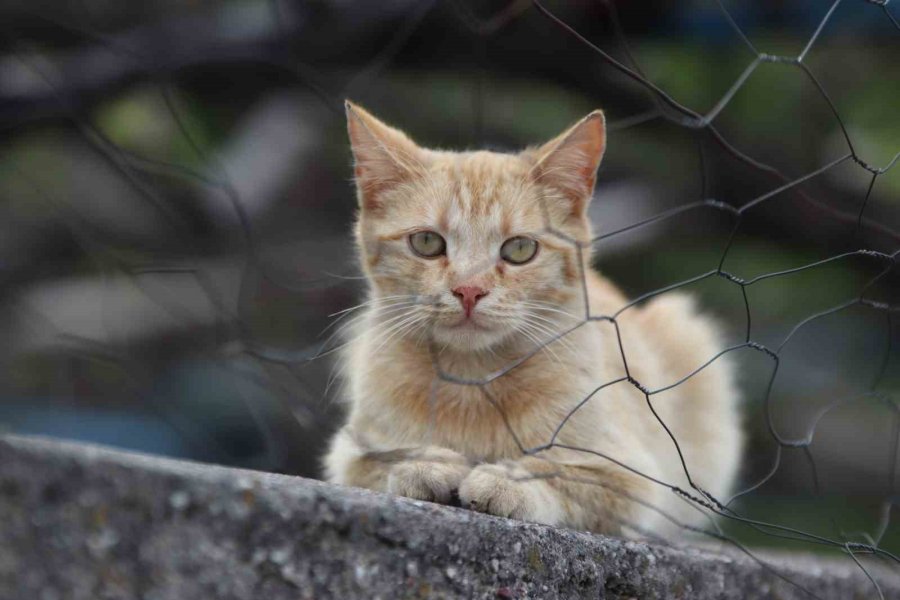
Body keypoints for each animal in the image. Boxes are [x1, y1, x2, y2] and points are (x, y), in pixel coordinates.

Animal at [320, 101, 740, 536]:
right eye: (426, 242)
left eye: (519, 249)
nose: (469, 290)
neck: (472, 381)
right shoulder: (348, 451)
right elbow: (378, 462)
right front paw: (423, 464)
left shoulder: (628, 481)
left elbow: (560, 475)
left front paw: (508, 482)